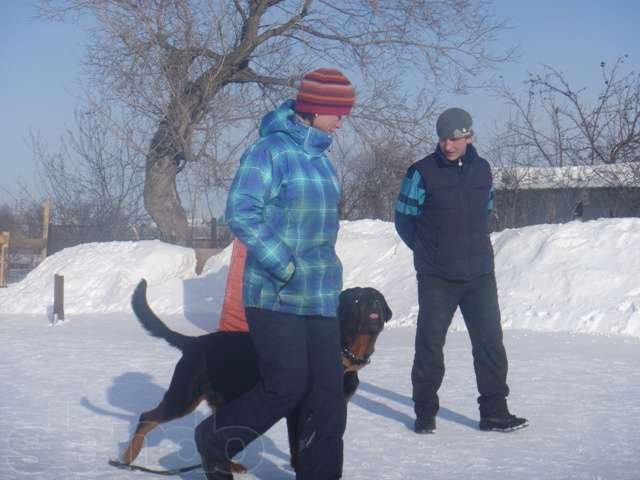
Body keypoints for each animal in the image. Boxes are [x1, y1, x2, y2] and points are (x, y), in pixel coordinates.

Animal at [119, 280, 390, 470]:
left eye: (377, 297)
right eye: (356, 299)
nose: (374, 304)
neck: (344, 353)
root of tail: (194, 342)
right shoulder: (296, 411)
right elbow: (296, 446)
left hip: (224, 399)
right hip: (185, 395)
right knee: (147, 417)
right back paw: (128, 457)